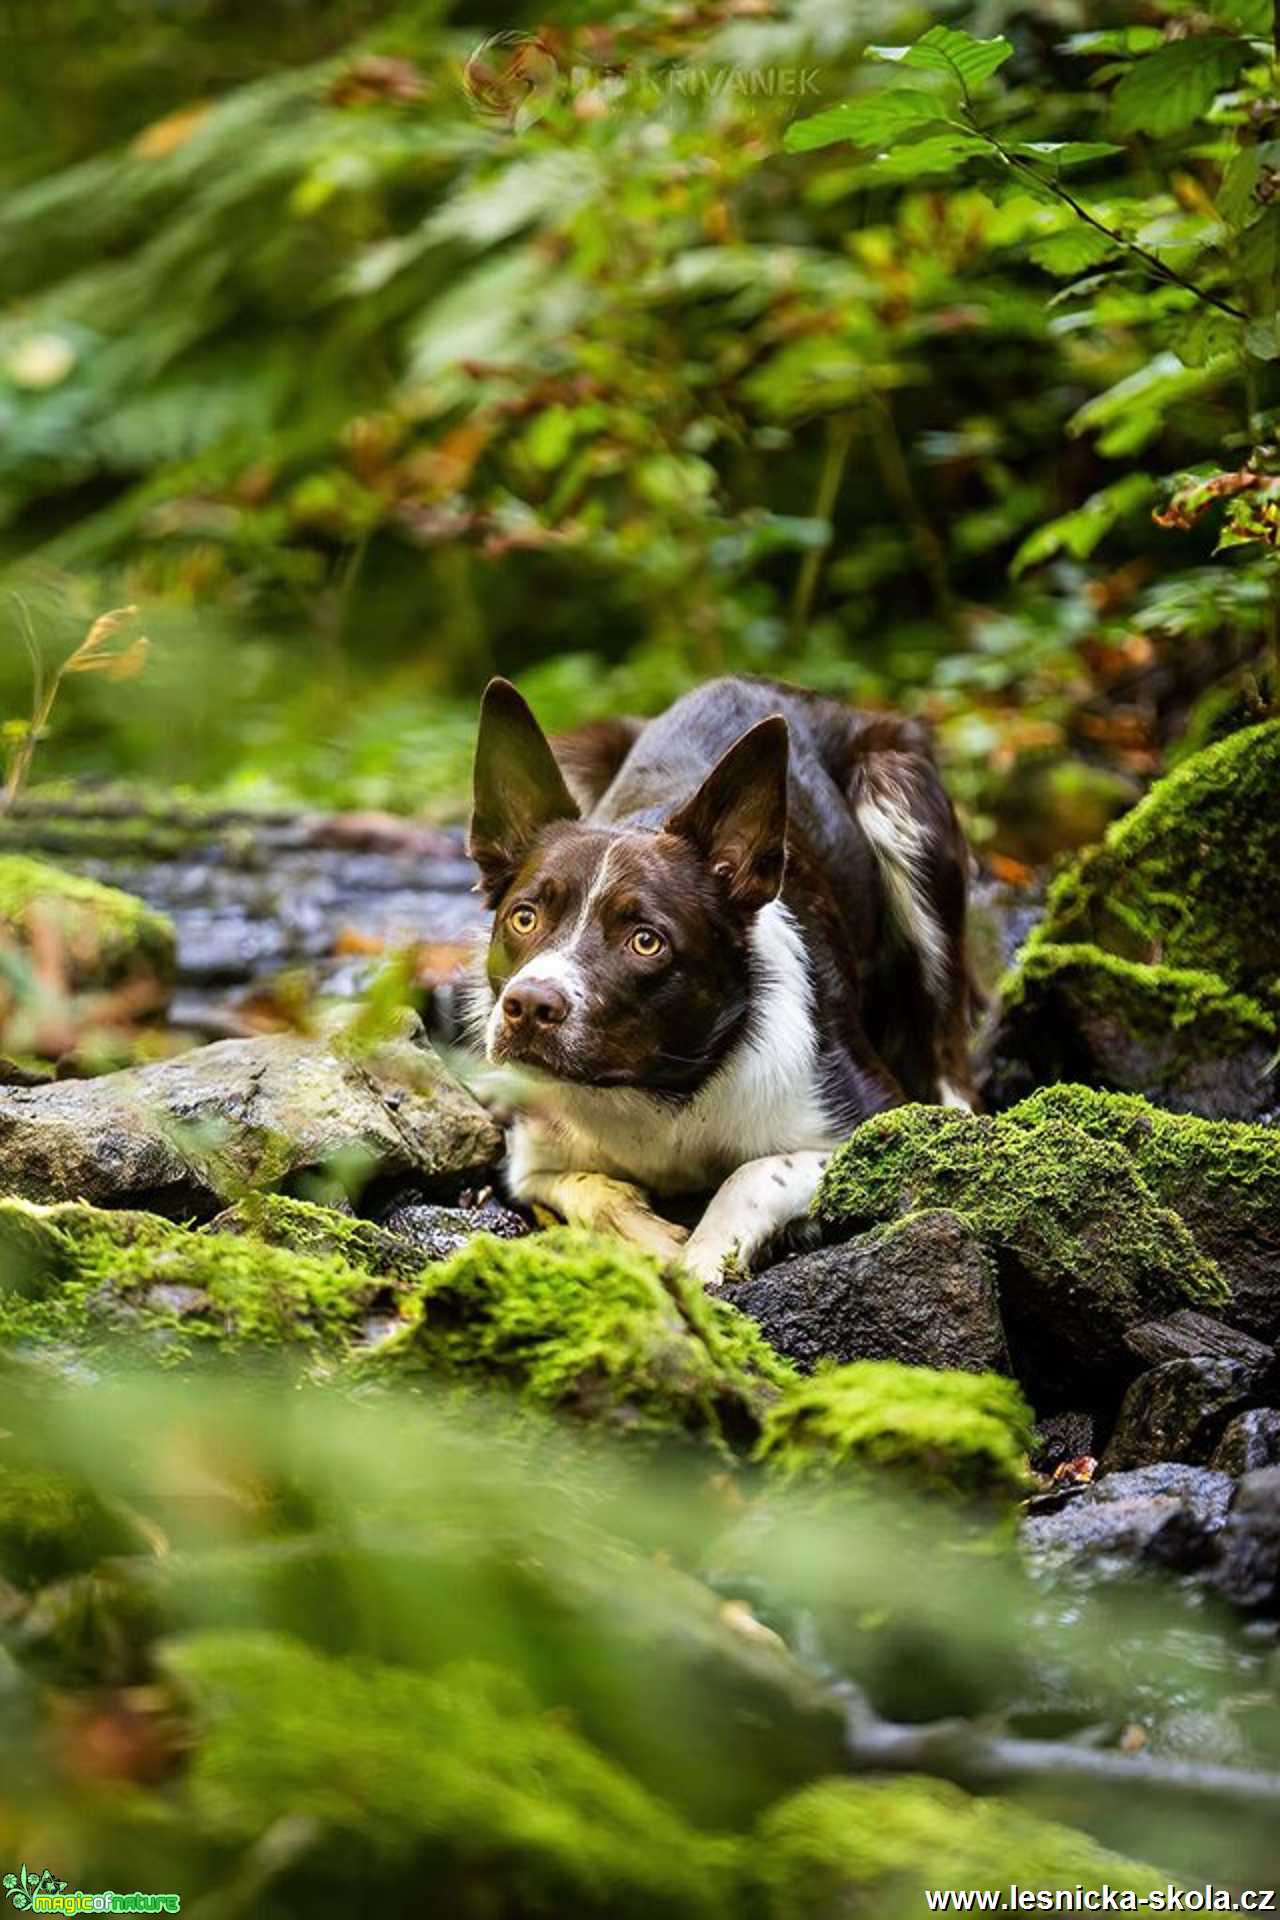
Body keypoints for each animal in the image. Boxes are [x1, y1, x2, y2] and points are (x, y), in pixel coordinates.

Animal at [466, 675, 974, 1290]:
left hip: (904, 806)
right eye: (524, 918)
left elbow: (754, 1173)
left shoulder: (876, 1119)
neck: (657, 1091)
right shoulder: (530, 1161)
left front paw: (702, 1255)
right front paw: (653, 1237)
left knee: (948, 1038)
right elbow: (587, 1188)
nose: (528, 1005)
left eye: (646, 941)